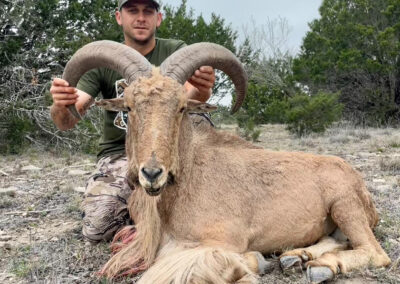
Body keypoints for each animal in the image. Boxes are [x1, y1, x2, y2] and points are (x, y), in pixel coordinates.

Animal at [62, 40, 390, 284]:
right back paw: (296, 257)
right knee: (336, 240)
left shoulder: (221, 240)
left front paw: (253, 262)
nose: (152, 173)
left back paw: (321, 266)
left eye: (181, 107)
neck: (188, 181)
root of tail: (362, 187)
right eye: (128, 107)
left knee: (374, 252)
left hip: (344, 205)